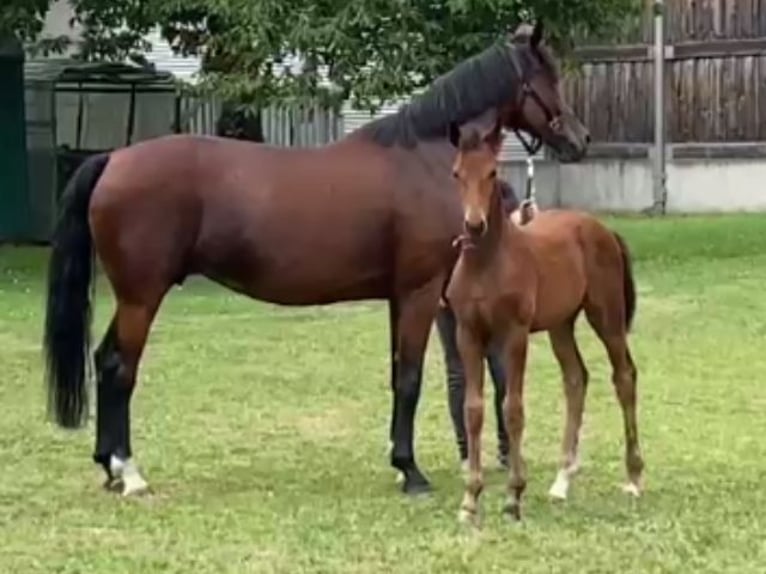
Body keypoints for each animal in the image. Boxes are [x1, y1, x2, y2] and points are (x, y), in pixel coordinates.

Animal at [448, 126, 644, 528]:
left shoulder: (515, 335)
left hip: (606, 316)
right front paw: (470, 499)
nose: (474, 225)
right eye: (457, 173)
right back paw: (561, 481)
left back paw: (633, 478)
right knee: (576, 378)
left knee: (624, 376)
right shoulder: (468, 335)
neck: (486, 265)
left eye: (492, 172)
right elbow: (473, 409)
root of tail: (603, 229)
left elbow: (512, 408)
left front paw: (513, 497)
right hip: (561, 324)